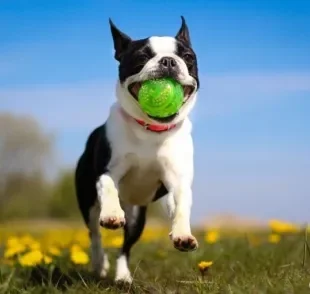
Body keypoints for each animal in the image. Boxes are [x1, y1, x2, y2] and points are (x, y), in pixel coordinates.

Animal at [76, 15, 200, 282]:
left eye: (187, 57)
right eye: (142, 56)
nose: (168, 61)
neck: (151, 130)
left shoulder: (178, 182)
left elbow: (182, 205)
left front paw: (183, 235)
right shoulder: (107, 171)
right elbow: (108, 186)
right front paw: (112, 214)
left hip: (136, 217)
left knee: (125, 248)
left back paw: (123, 276)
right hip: (87, 200)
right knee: (94, 234)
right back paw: (99, 264)